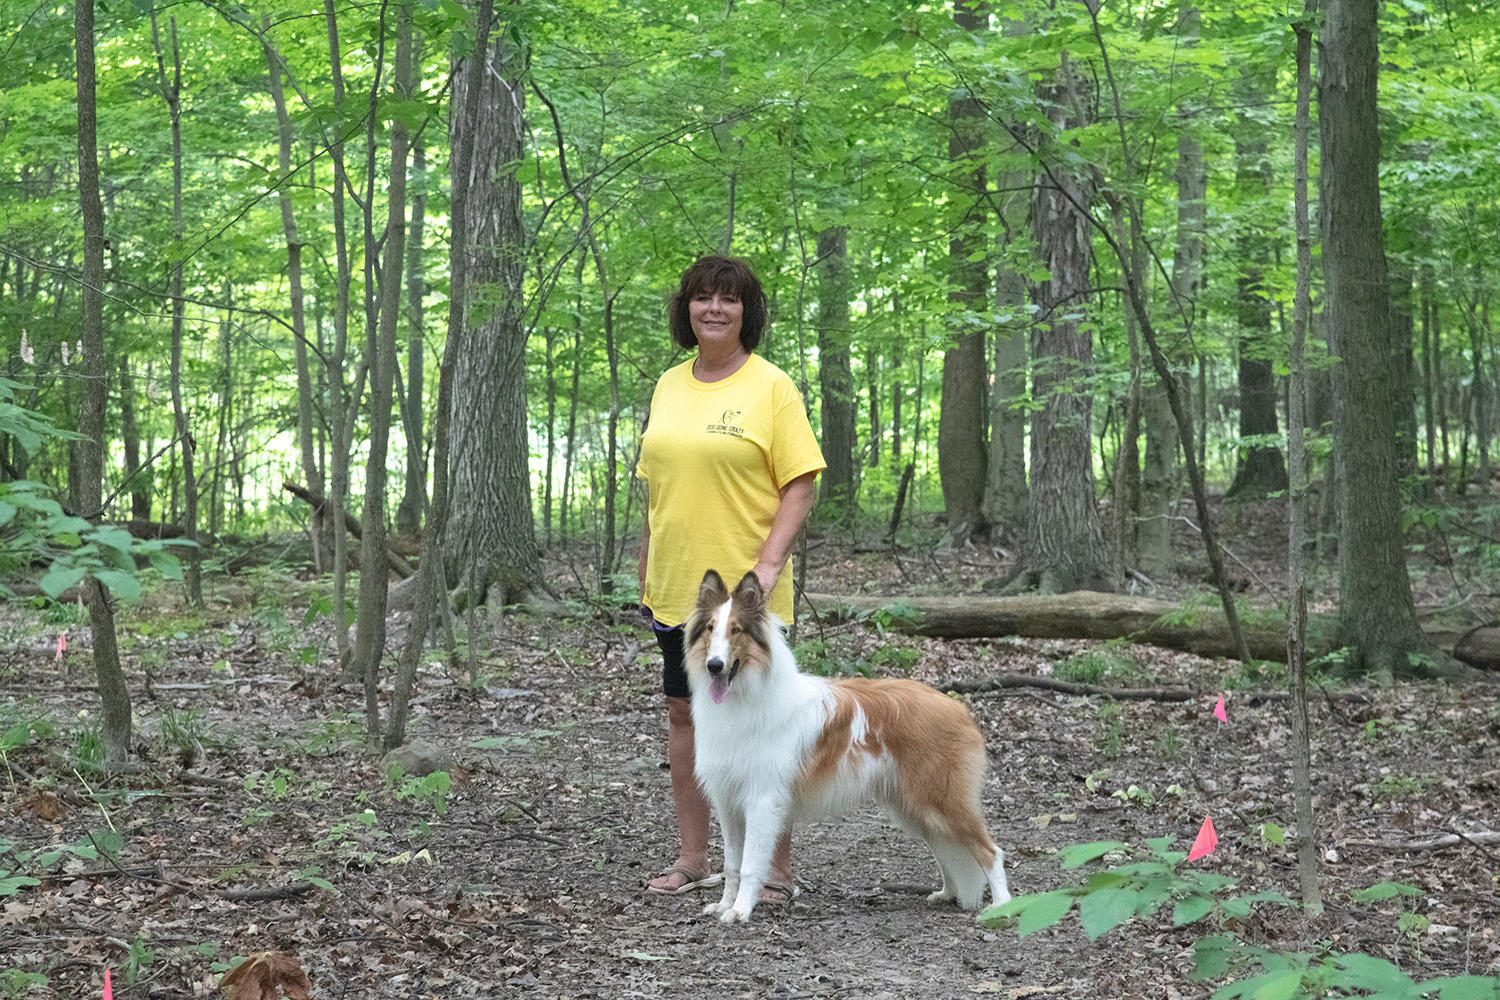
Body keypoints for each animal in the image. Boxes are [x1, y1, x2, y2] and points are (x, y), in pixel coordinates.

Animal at [687, 569, 1014, 923]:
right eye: (710, 628)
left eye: (736, 630)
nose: (714, 665)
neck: (746, 696)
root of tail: (958, 707)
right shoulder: (728, 803)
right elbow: (732, 865)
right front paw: (725, 905)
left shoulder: (761, 800)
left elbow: (748, 866)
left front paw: (740, 910)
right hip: (916, 808)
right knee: (946, 850)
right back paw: (947, 893)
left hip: (943, 801)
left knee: (990, 851)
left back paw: (1003, 905)